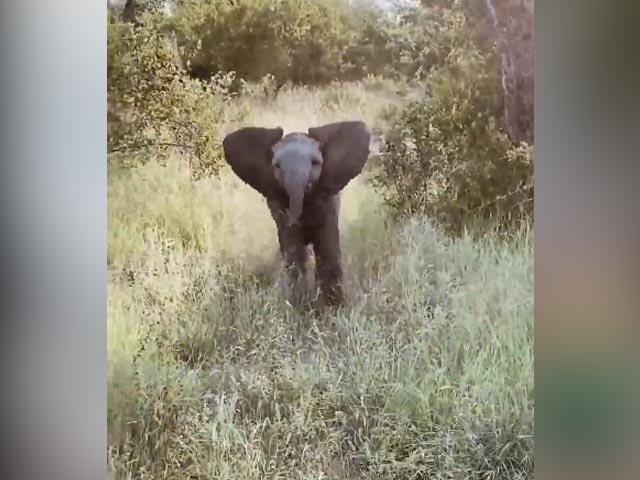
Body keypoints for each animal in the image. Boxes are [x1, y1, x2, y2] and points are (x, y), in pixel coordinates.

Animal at [222, 121, 371, 306]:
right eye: (277, 166)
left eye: (315, 163)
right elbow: (293, 249)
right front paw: (301, 307)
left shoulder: (327, 200)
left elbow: (327, 246)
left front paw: (334, 307)